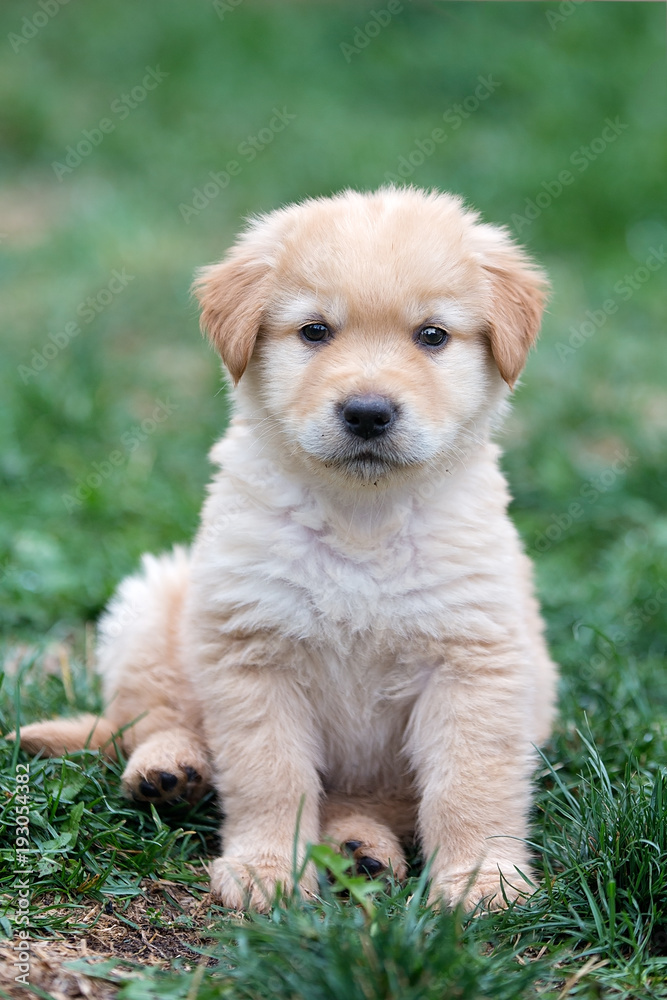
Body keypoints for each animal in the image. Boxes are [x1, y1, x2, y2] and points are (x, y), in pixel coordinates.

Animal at [17, 184, 560, 912]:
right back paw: (170, 770)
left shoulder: (473, 662)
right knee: (150, 718)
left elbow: (469, 786)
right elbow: (270, 777)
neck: (362, 517)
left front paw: (481, 879)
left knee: (371, 804)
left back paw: (362, 848)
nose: (367, 413)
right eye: (314, 331)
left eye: (432, 336)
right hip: (154, 606)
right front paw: (265, 869)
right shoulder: (252, 652)